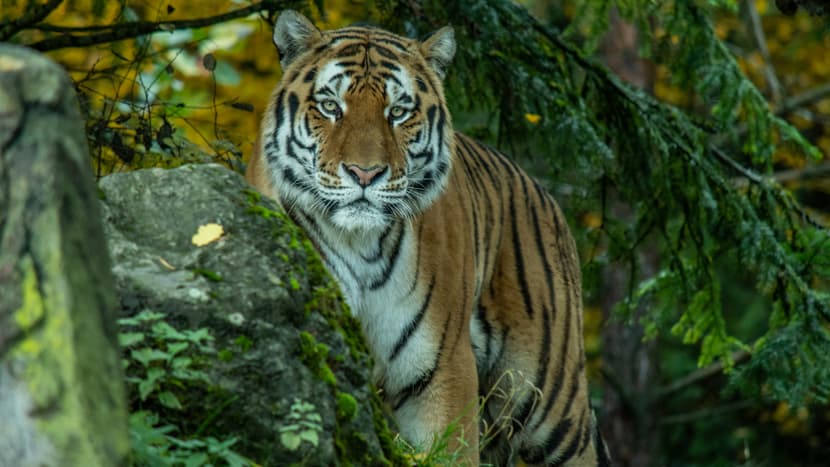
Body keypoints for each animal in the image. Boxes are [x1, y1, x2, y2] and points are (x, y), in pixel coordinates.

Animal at [247, 9, 612, 466]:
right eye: (331, 106)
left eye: (399, 111)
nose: (365, 173)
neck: (360, 243)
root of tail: (545, 195)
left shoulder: (442, 368)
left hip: (551, 403)